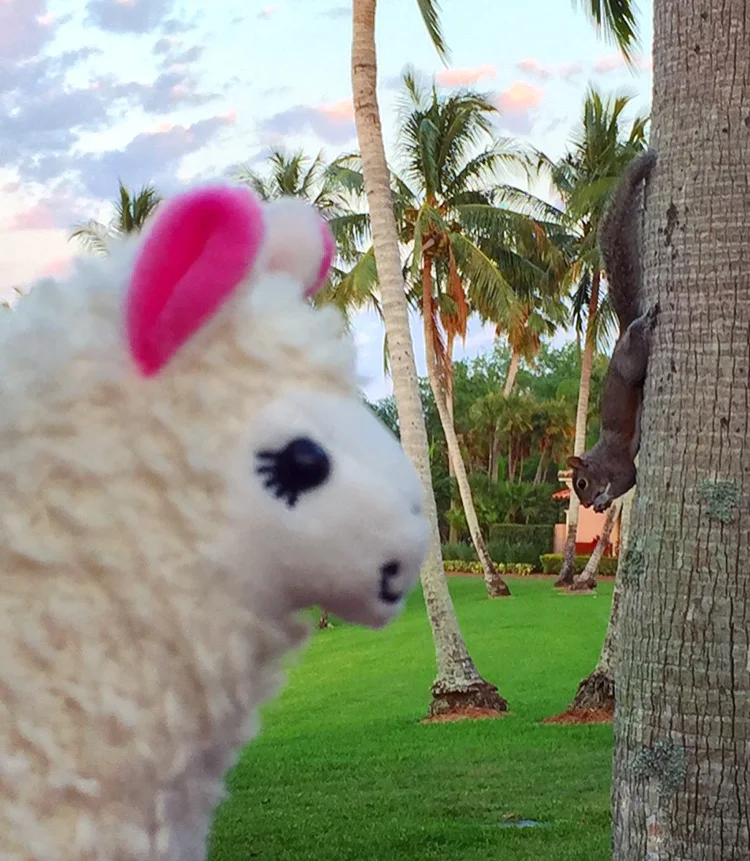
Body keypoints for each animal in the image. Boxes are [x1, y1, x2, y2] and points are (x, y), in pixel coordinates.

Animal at [567, 148, 659, 513]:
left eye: (581, 483)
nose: (587, 505)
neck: (599, 459)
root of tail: (622, 335)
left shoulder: (620, 466)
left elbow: (627, 480)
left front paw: (606, 497)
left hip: (630, 364)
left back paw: (645, 325)